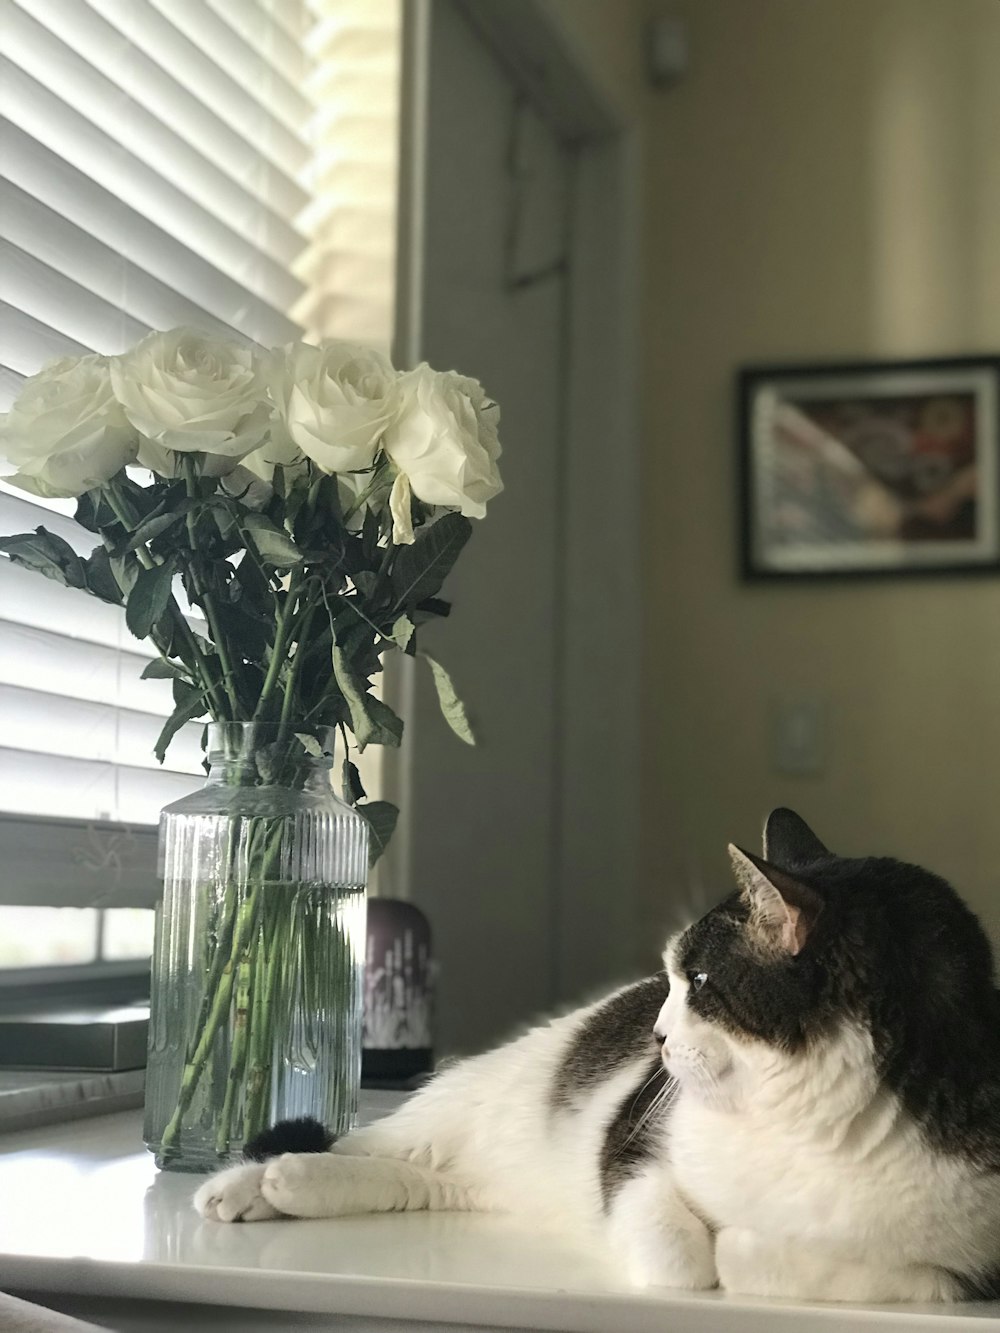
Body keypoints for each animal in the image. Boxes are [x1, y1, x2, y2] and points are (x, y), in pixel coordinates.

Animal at [193, 810, 1000, 1301]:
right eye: (674, 978)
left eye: (696, 982)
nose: (658, 1035)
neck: (807, 1119)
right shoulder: (632, 1148)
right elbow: (682, 1260)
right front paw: (709, 1248)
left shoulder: (969, 1275)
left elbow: (789, 1260)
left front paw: (747, 1245)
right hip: (467, 1104)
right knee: (360, 1142)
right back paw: (251, 1184)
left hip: (475, 1176)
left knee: (411, 1177)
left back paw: (287, 1187)